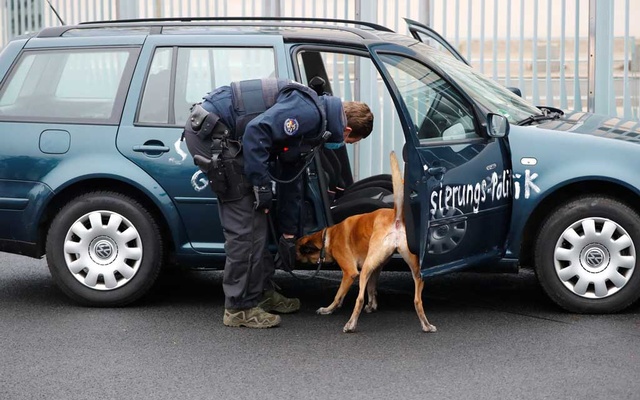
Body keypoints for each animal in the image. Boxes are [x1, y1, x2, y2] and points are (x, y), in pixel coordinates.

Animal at [298, 152, 438, 332]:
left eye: (300, 251)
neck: (328, 235)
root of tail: (396, 217)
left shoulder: (350, 272)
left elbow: (338, 295)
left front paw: (328, 309)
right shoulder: (376, 268)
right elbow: (372, 289)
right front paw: (372, 306)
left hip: (364, 269)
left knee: (359, 299)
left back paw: (351, 324)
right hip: (414, 271)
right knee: (417, 300)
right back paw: (426, 325)